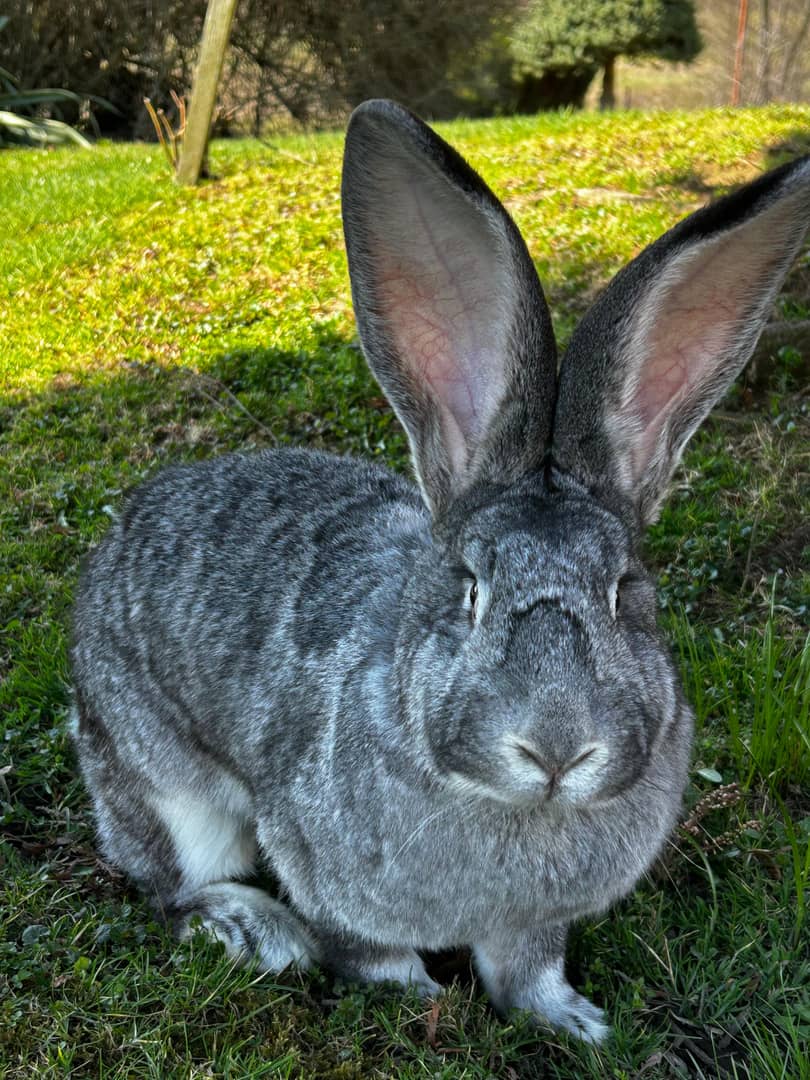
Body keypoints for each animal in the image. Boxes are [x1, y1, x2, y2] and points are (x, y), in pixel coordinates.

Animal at [70, 99, 810, 1044]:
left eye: (624, 592)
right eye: (470, 589)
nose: (557, 748)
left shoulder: (534, 926)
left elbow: (527, 971)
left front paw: (576, 1023)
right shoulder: (330, 878)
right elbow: (368, 956)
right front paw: (423, 1001)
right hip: (163, 782)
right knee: (169, 884)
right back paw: (255, 929)